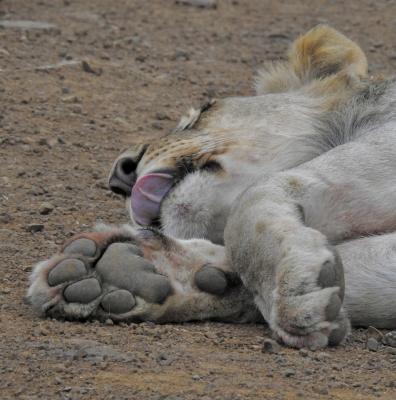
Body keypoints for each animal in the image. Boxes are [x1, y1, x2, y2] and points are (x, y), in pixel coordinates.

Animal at [26, 25, 394, 350]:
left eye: (204, 110)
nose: (120, 174)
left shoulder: (384, 145)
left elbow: (250, 204)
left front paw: (294, 285)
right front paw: (124, 271)